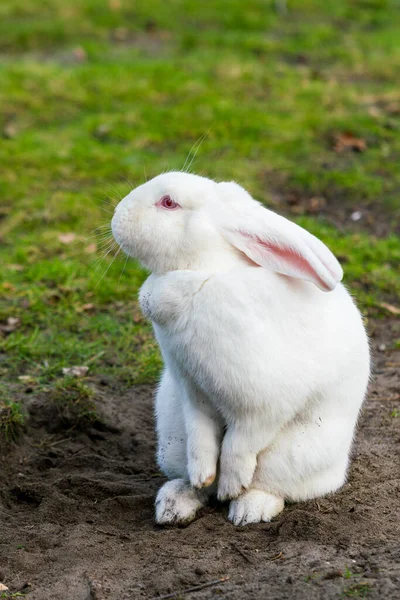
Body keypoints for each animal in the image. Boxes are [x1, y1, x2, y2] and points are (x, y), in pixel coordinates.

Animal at [111, 170, 370, 524]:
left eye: (168, 203)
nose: (116, 217)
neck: (204, 272)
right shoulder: (192, 391)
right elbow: (202, 437)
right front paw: (203, 475)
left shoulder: (263, 403)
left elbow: (239, 446)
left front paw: (231, 486)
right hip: (172, 435)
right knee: (196, 481)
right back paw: (176, 503)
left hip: (294, 455)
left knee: (273, 487)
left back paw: (248, 510)